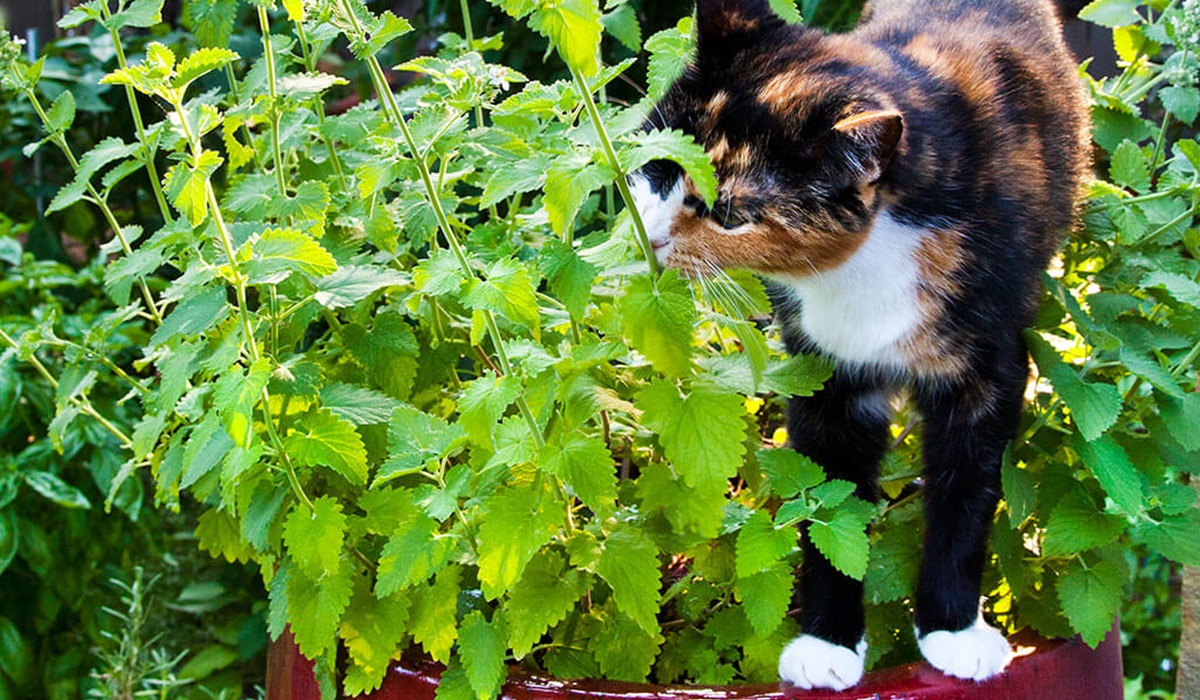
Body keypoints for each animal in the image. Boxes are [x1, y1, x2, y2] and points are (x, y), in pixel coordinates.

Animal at [633, 0, 1094, 691]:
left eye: (731, 215)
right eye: (659, 166)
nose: (654, 239)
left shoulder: (990, 369)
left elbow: (966, 495)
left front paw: (955, 632)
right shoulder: (826, 371)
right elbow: (830, 504)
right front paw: (827, 644)